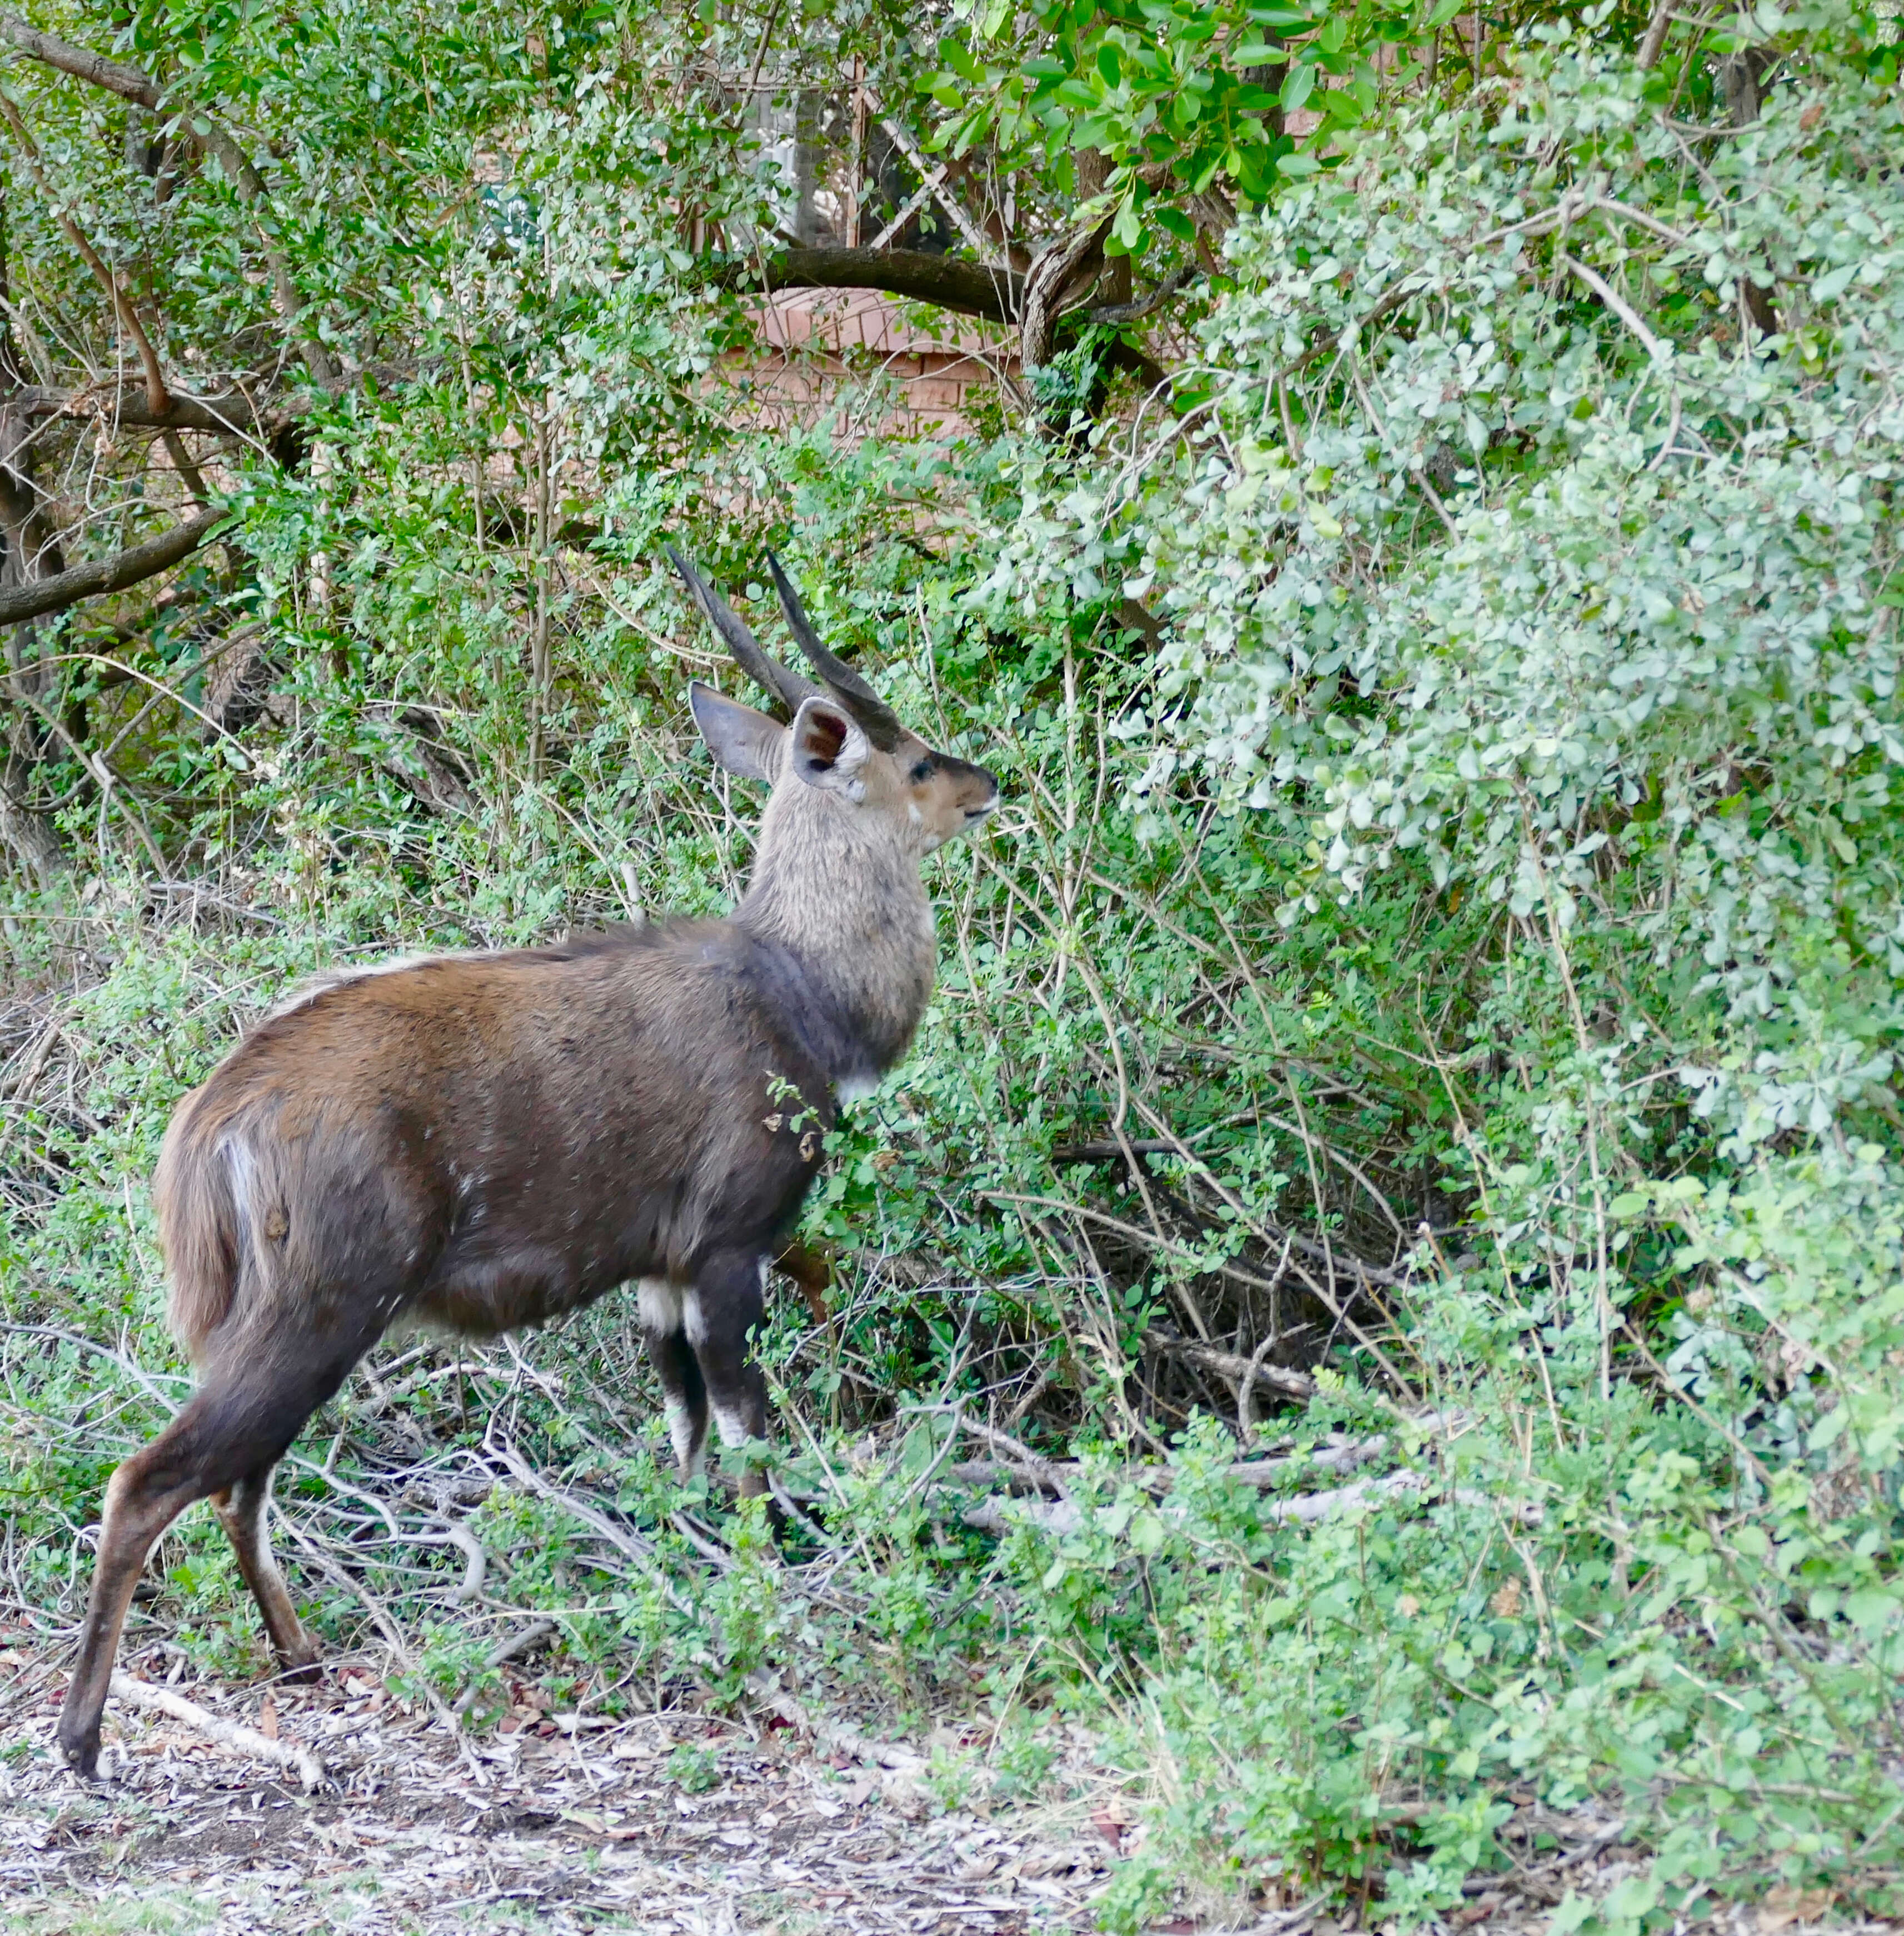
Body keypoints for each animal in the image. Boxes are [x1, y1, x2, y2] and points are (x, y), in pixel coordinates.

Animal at [56, 553, 999, 1773]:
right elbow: (748, 1434)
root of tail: (212, 1119)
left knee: (240, 1479)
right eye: (917, 759)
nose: (987, 784)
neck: (800, 995)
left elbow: (684, 1437)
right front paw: (764, 1605)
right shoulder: (727, 1246)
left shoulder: (658, 1272)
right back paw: (84, 1740)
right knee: (153, 1475)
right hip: (325, 1303)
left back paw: (302, 1660)